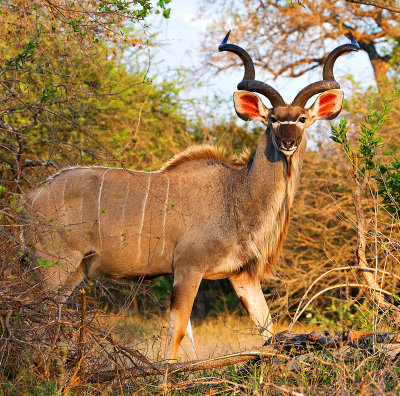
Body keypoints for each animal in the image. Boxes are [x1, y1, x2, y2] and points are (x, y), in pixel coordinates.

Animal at [22, 31, 360, 358]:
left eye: (302, 119)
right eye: (273, 119)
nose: (288, 143)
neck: (236, 194)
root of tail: (32, 196)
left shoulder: (241, 275)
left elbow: (267, 329)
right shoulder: (188, 268)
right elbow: (177, 332)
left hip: (75, 271)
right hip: (56, 265)